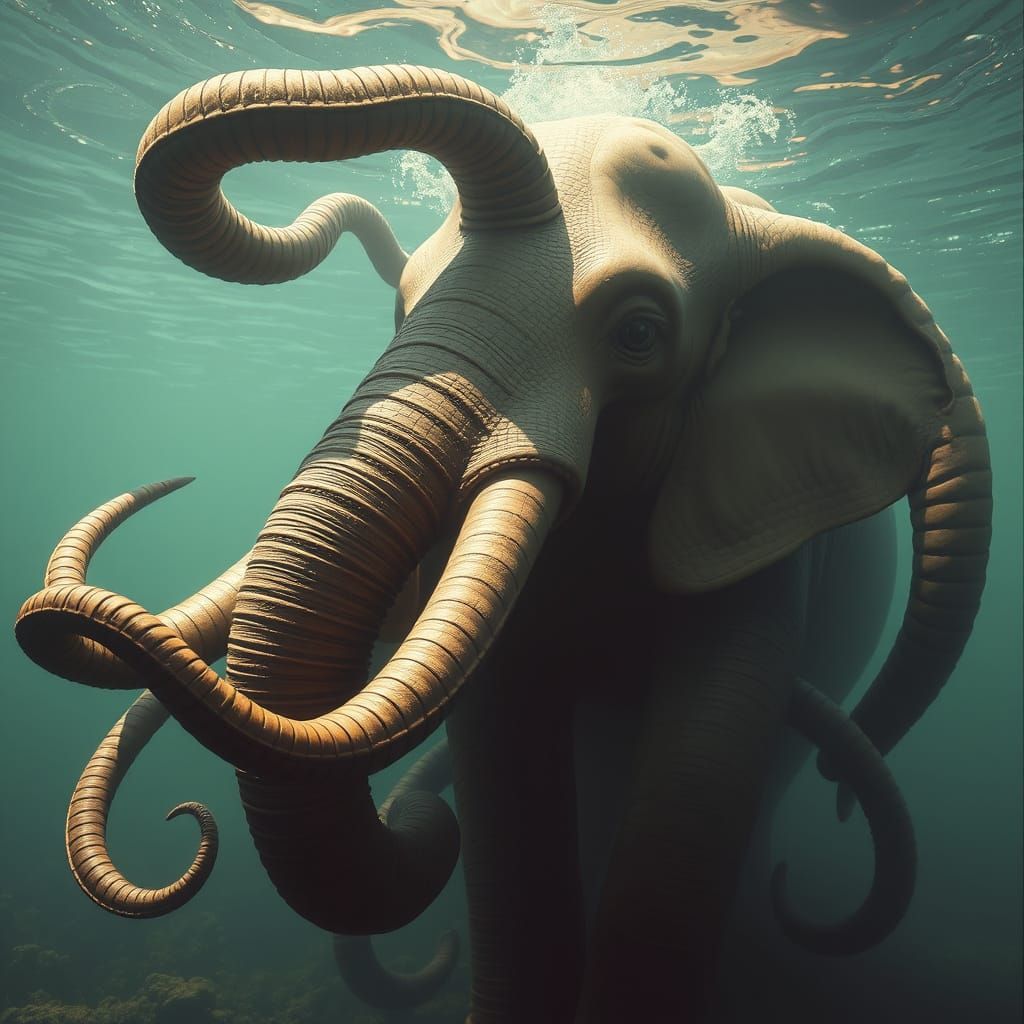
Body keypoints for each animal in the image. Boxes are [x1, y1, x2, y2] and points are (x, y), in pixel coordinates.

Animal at [15, 65, 991, 1023]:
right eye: (403, 303)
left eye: (640, 333)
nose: (420, 824)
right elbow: (504, 794)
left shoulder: (762, 538)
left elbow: (694, 787)